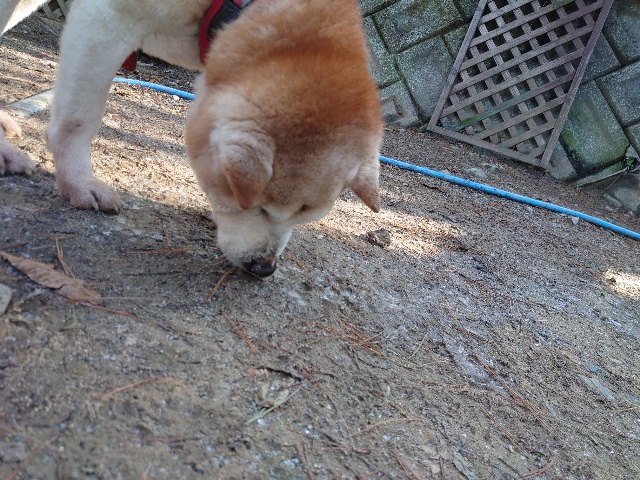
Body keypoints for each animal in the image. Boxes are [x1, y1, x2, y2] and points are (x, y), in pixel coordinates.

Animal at [2, 0, 383, 276]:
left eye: (304, 218)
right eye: (259, 208)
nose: (264, 269)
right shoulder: (105, 19)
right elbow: (78, 118)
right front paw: (78, 183)